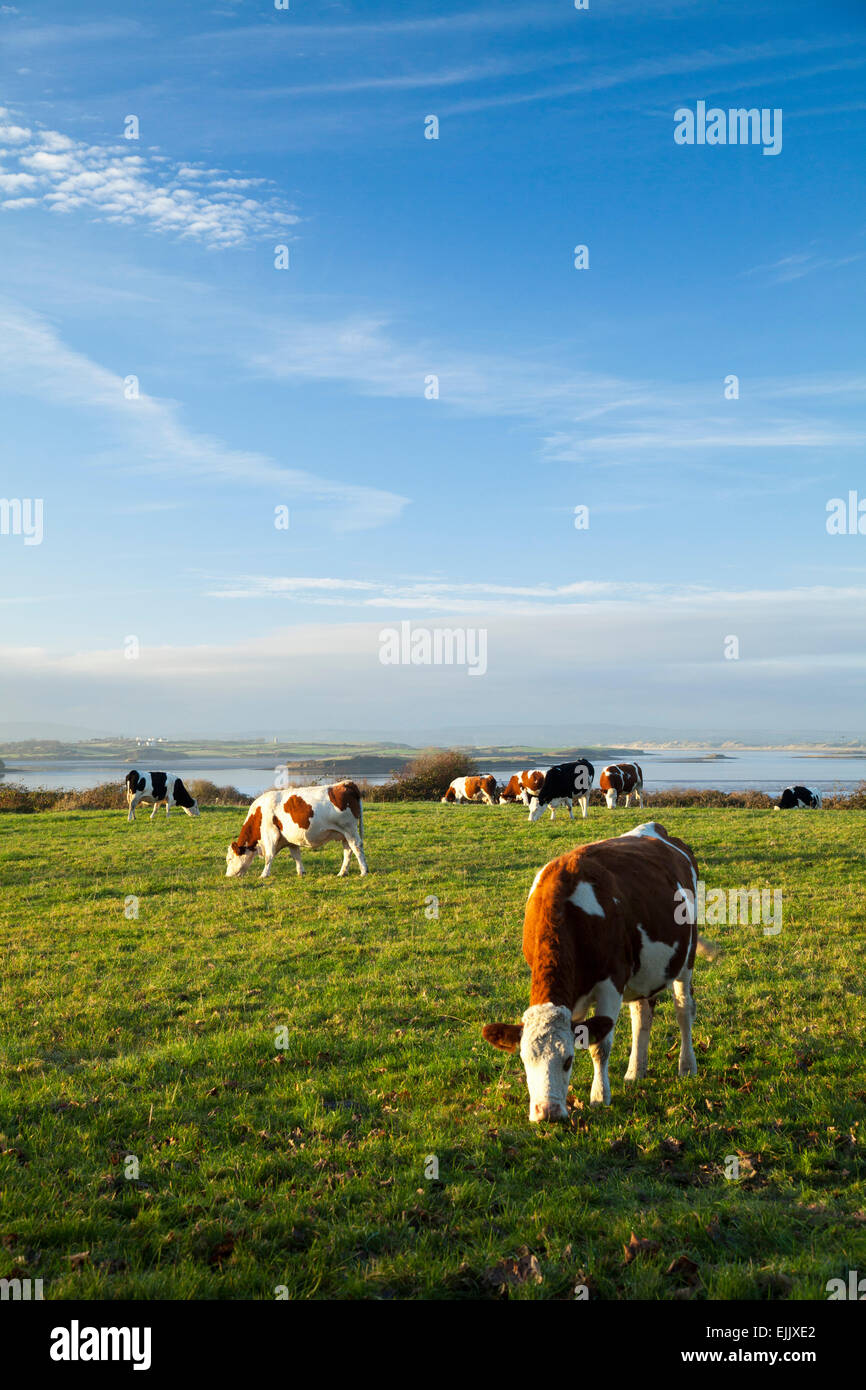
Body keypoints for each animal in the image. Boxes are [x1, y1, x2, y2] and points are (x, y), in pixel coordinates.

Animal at [225, 783, 366, 878]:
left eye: (229, 859)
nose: (227, 875)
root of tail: (345, 783)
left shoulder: (270, 835)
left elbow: (269, 856)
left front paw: (264, 875)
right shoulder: (290, 839)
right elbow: (296, 855)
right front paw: (301, 872)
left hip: (350, 829)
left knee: (356, 847)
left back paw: (364, 871)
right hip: (344, 834)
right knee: (348, 851)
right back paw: (342, 872)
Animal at [480, 817, 717, 1123]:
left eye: (568, 1060)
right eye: (524, 1060)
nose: (547, 1113)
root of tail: (659, 830)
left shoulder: (611, 983)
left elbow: (599, 1046)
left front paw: (599, 1096)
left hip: (685, 958)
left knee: (684, 1008)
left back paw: (687, 1066)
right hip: (644, 971)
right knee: (642, 1015)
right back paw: (635, 1071)